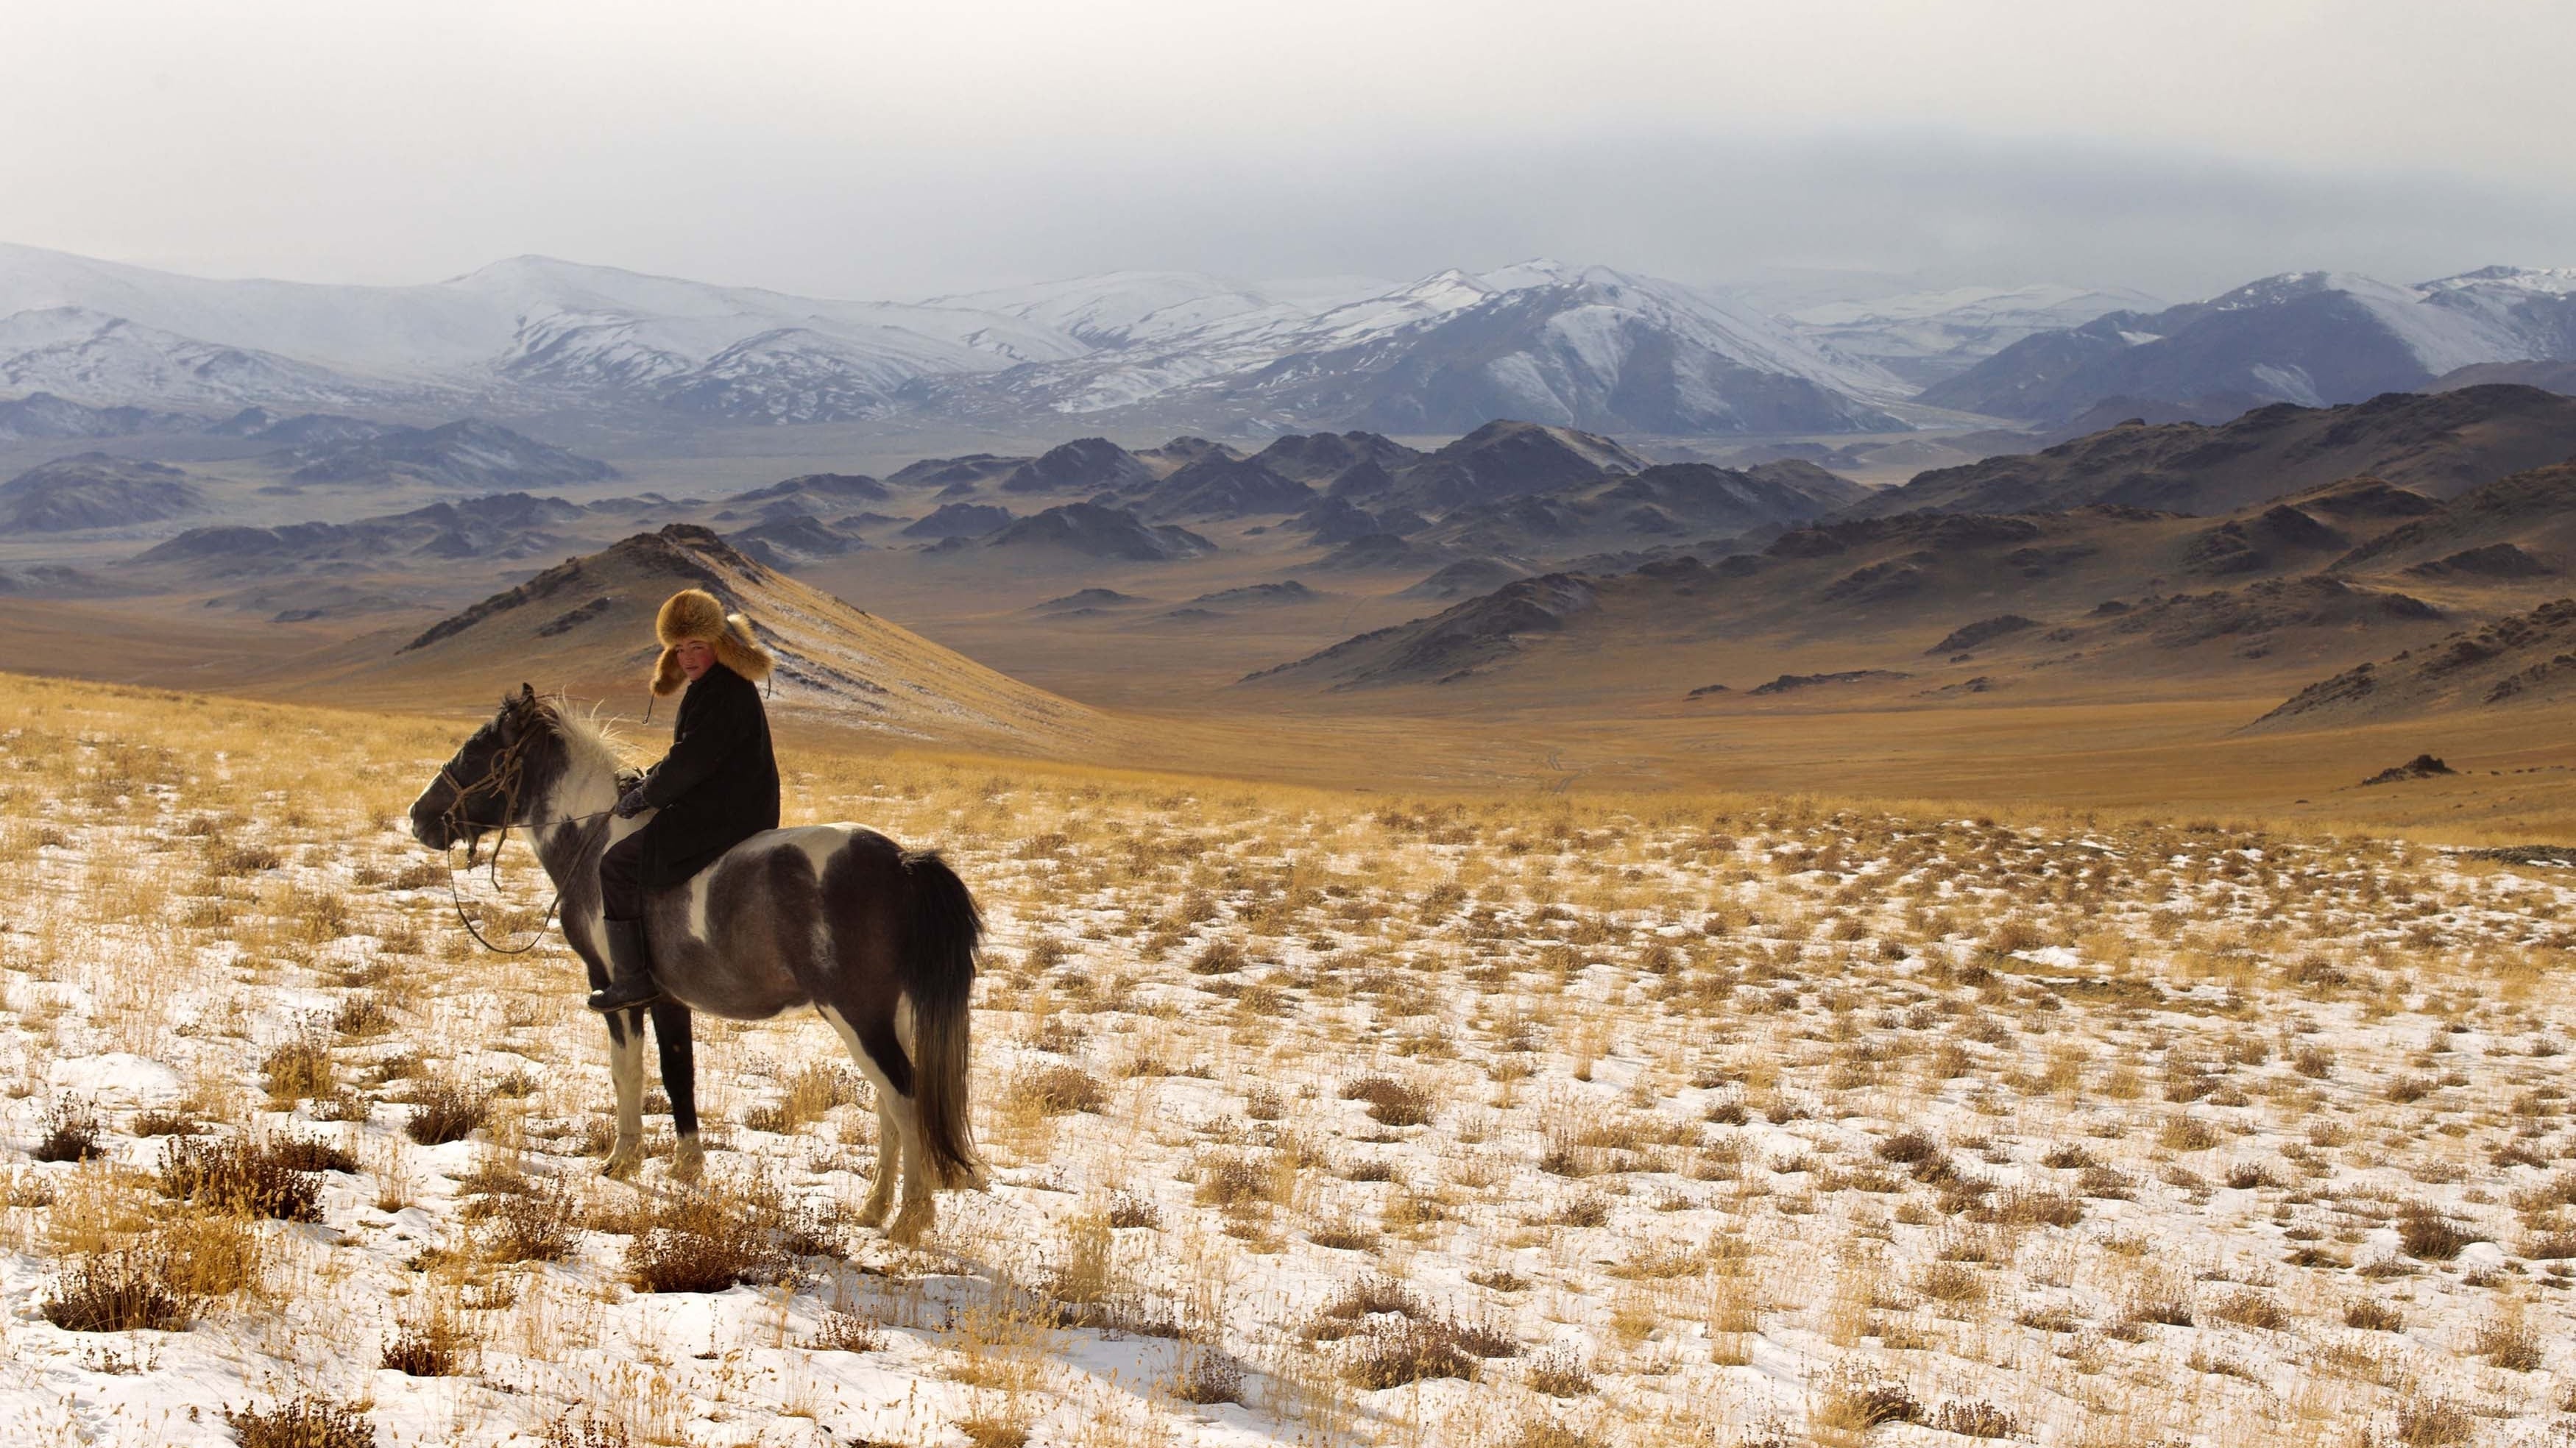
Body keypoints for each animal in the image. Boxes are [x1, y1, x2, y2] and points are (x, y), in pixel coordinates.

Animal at [407, 680, 979, 1236]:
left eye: (478, 750)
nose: (419, 817)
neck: (594, 840)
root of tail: (903, 862)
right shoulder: (668, 997)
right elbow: (677, 1071)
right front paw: (686, 1165)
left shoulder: (615, 990)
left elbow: (627, 1070)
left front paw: (623, 1160)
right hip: (887, 1017)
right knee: (888, 1105)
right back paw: (874, 1209)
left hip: (857, 1016)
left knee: (904, 1097)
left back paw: (910, 1219)